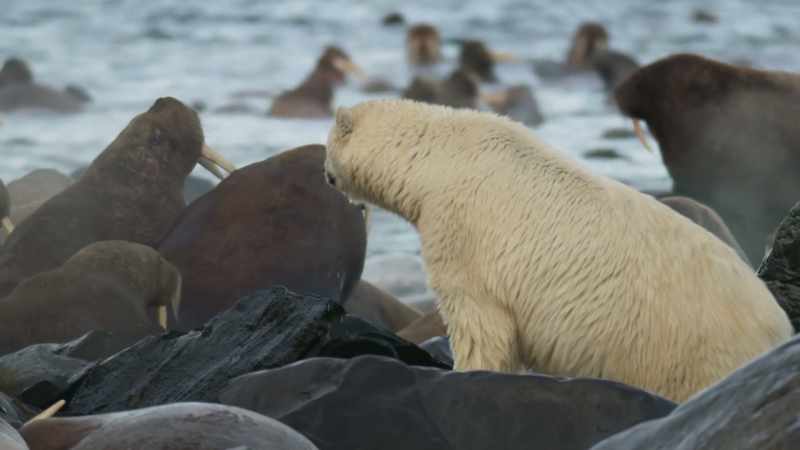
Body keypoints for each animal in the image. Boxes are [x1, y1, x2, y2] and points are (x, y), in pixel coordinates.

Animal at [323, 99, 793, 402]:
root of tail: (780, 329)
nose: (326, 173)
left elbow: (478, 318)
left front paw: (466, 371)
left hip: (692, 346)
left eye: (327, 145)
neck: (437, 158)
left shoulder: (461, 230)